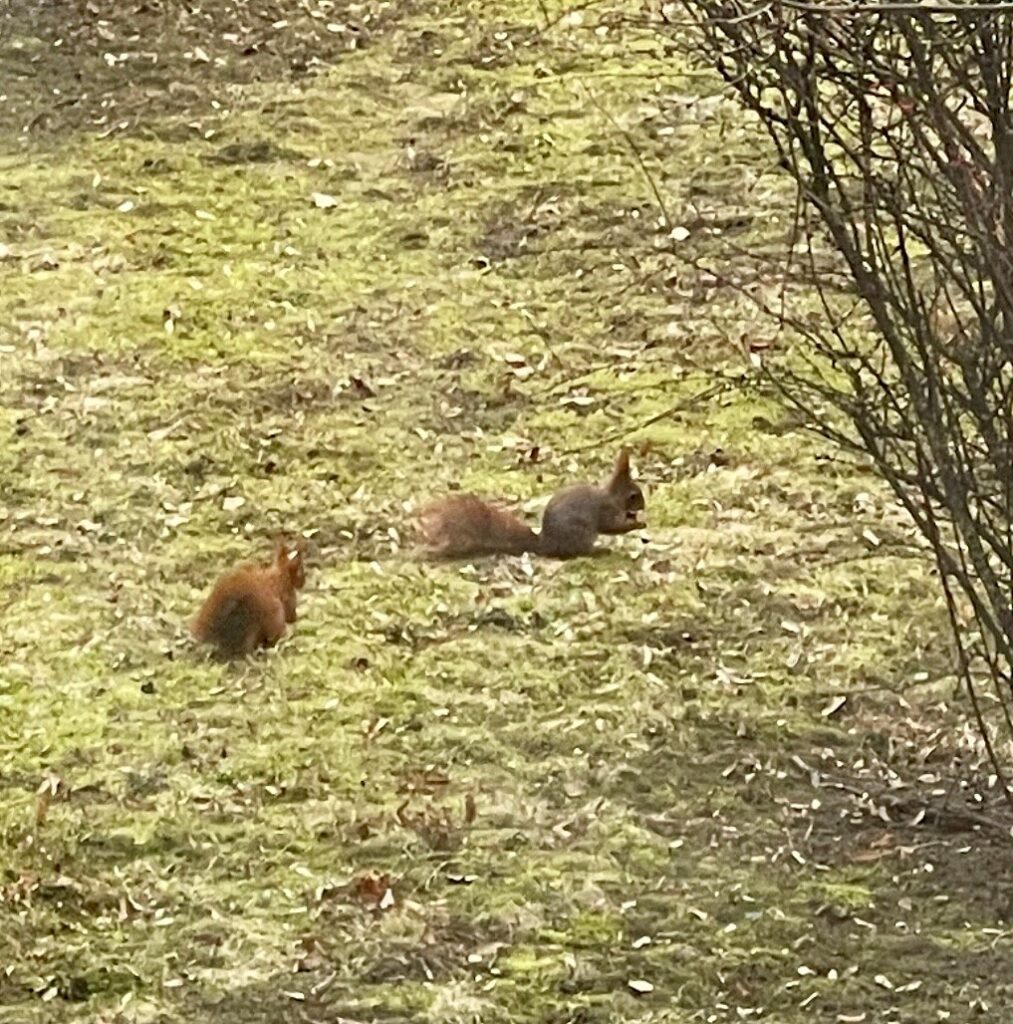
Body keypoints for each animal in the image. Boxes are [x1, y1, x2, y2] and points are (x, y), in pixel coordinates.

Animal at [418, 449, 645, 559]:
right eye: (634, 495)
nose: (643, 506)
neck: (613, 497)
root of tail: (547, 544)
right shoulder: (607, 510)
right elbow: (612, 526)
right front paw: (638, 524)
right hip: (581, 533)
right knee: (577, 552)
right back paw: (598, 551)